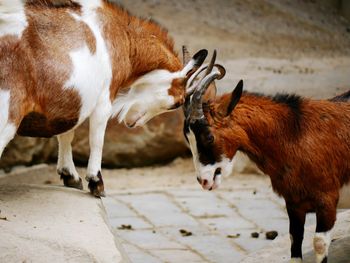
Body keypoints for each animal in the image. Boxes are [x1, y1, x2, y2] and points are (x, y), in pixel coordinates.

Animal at [0, 0, 211, 197]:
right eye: (177, 103)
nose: (133, 123)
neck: (119, 35)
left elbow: (67, 133)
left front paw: (70, 176)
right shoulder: (104, 97)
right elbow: (97, 138)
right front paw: (96, 183)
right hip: (8, 111)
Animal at [183, 73, 350, 262]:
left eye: (209, 137)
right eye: (188, 137)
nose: (203, 180)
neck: (296, 133)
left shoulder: (327, 201)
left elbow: (320, 243)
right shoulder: (294, 203)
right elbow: (294, 240)